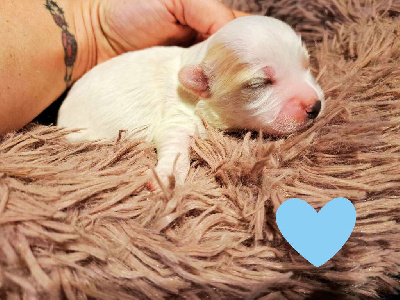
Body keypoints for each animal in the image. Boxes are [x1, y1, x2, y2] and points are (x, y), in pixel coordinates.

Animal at [57, 15, 324, 190]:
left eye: (306, 64)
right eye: (260, 83)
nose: (316, 106)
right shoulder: (176, 117)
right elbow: (174, 142)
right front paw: (166, 175)